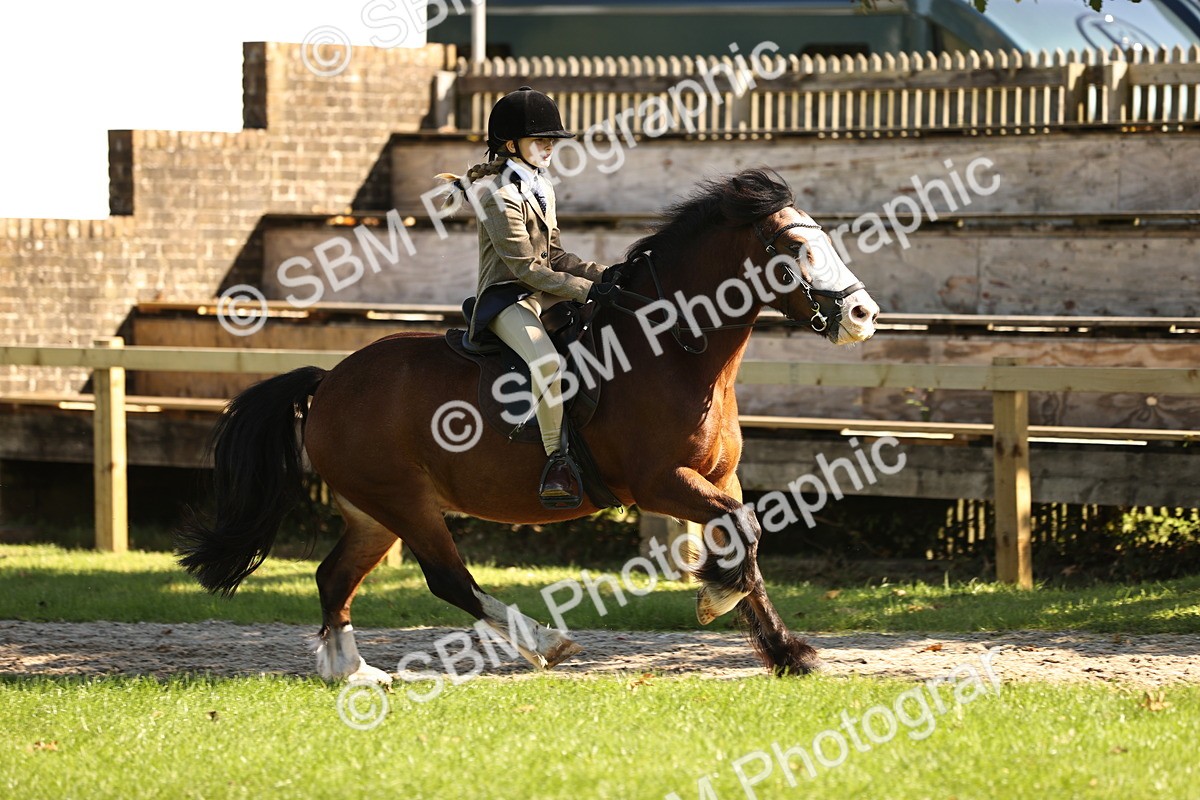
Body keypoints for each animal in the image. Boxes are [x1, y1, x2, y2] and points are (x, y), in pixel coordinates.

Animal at [175, 168, 880, 683]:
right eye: (799, 250)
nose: (864, 314)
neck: (673, 350)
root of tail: (329, 381)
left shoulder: (720, 477)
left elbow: (745, 540)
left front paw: (788, 652)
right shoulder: (659, 482)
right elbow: (744, 535)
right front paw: (716, 600)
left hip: (374, 511)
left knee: (334, 578)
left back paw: (351, 673)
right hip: (404, 501)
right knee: (448, 579)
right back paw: (543, 642)